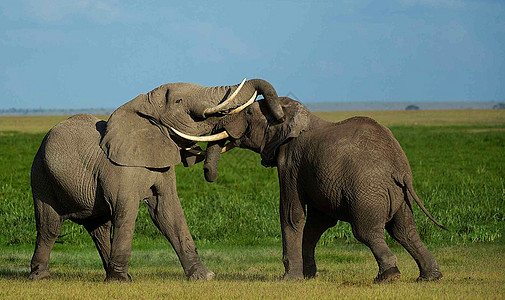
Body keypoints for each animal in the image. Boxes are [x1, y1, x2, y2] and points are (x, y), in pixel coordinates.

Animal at [29, 77, 286, 282]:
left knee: (98, 228)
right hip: (41, 175)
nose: (281, 116)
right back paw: (41, 278)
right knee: (50, 226)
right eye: (178, 102)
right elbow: (126, 211)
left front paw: (204, 277)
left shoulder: (162, 164)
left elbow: (168, 211)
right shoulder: (119, 168)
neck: (142, 106)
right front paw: (121, 282)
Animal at [199, 96, 442, 284]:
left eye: (249, 112)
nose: (209, 173)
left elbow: (291, 214)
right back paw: (430, 277)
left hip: (367, 191)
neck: (291, 111)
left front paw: (289, 280)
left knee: (366, 231)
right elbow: (317, 223)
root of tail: (400, 169)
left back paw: (388, 277)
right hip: (398, 195)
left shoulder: (290, 162)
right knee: (404, 231)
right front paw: (308, 276)